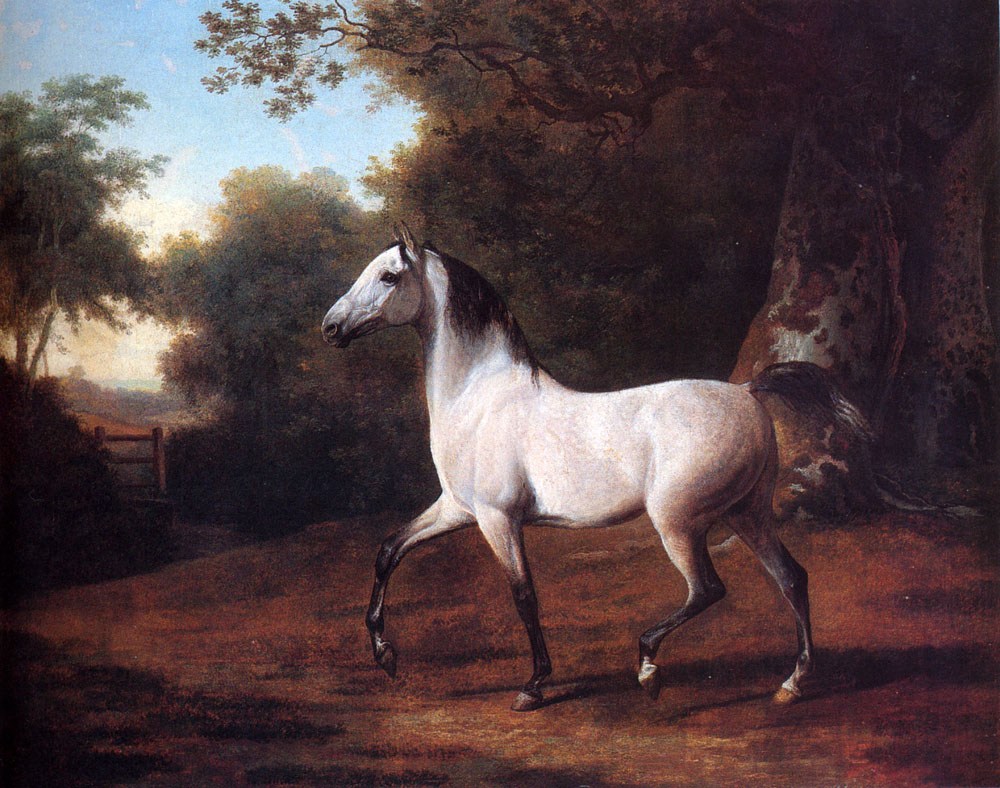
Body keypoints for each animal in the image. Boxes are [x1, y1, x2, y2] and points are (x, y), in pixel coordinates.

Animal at [322, 225, 867, 712]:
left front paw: (533, 687)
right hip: (746, 514)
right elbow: (389, 551)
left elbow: (524, 596)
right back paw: (792, 684)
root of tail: (747, 394)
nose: (330, 326)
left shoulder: (498, 519)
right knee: (791, 579)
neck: (479, 396)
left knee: (708, 589)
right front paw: (385, 656)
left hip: (678, 521)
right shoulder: (458, 509)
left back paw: (648, 668)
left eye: (389, 276)